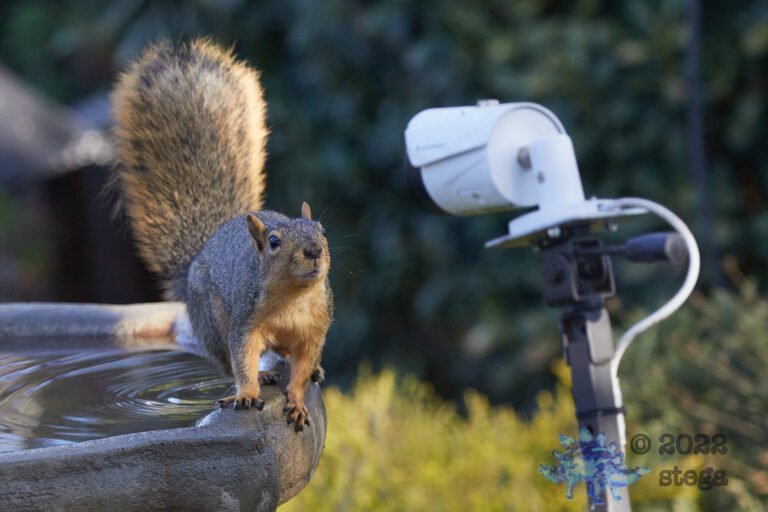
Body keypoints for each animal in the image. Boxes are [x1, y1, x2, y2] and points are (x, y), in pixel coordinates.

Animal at [111, 39, 333, 431]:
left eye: (322, 231)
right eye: (273, 242)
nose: (313, 251)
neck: (294, 299)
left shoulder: (314, 330)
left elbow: (302, 368)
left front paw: (296, 400)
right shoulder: (245, 321)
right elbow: (242, 357)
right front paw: (247, 393)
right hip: (210, 318)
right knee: (229, 360)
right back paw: (263, 376)